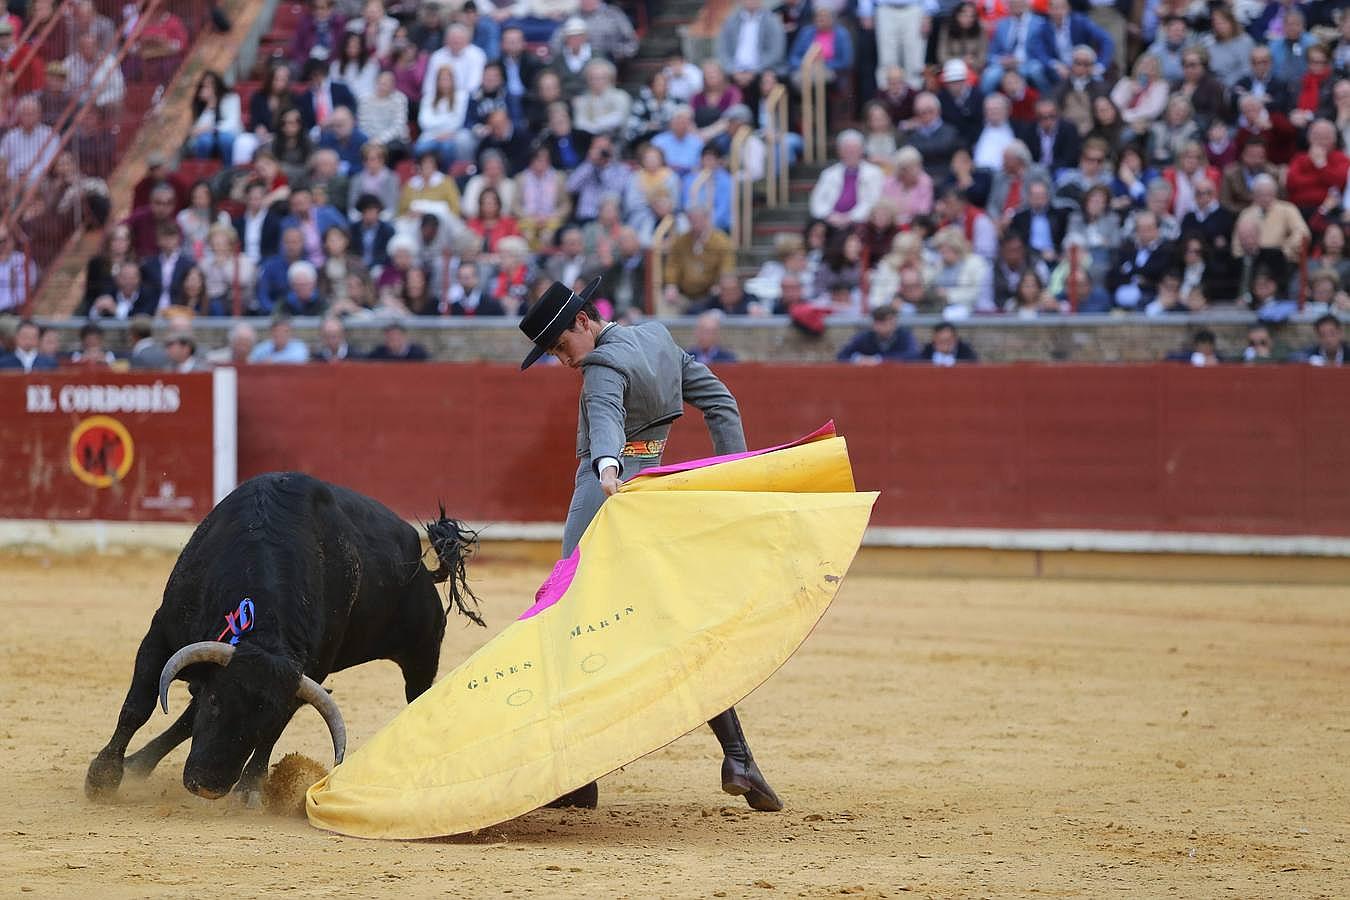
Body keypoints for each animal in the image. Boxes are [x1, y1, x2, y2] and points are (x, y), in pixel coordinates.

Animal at [85, 474, 486, 804]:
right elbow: (138, 706)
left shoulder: (307, 676)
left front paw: (249, 789)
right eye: (216, 703)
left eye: (263, 719)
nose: (208, 785)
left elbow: (273, 733)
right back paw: (136, 765)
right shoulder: (160, 637)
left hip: (422, 653)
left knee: (417, 699)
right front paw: (102, 777)